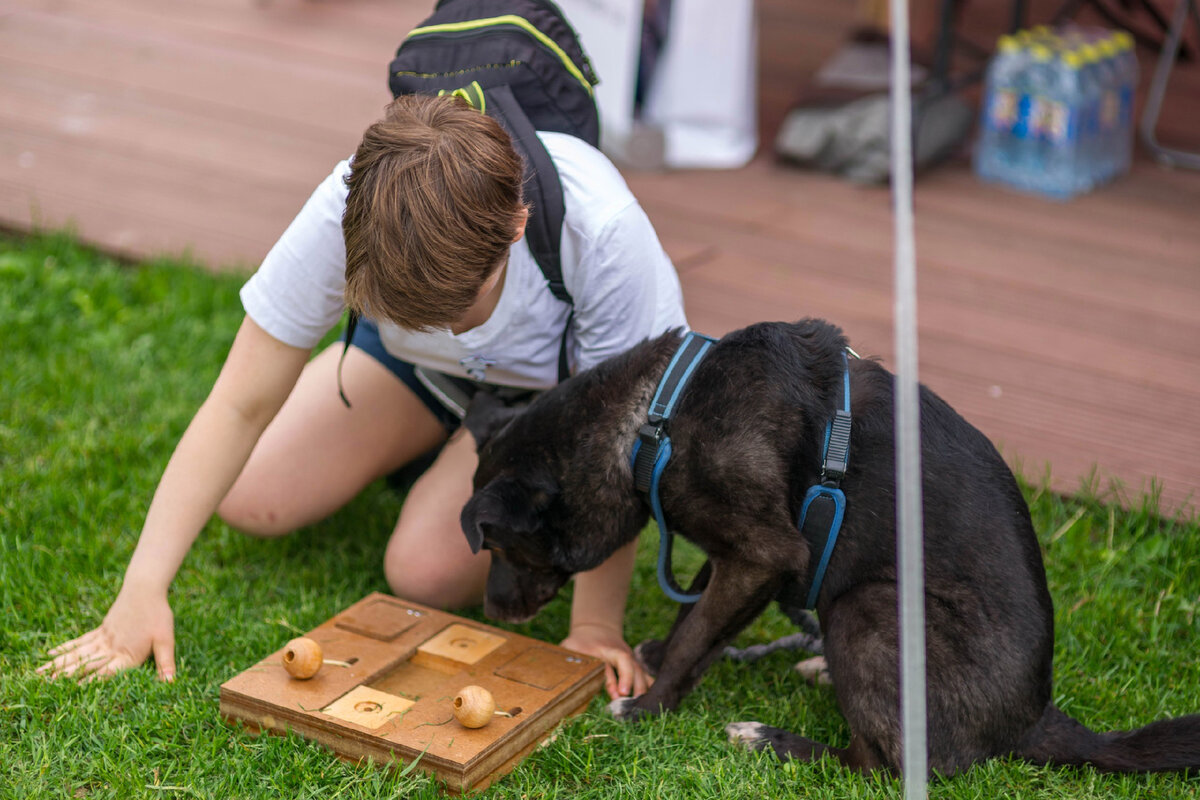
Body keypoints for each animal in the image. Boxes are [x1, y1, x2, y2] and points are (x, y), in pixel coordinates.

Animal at [460, 319, 1200, 777]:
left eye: (500, 547)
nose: (491, 614)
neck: (659, 416)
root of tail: (1035, 719)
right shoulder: (730, 555)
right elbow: (691, 620)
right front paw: (659, 658)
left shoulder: (761, 556)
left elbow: (698, 635)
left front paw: (647, 709)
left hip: (868, 605)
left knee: (883, 766)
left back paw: (770, 740)